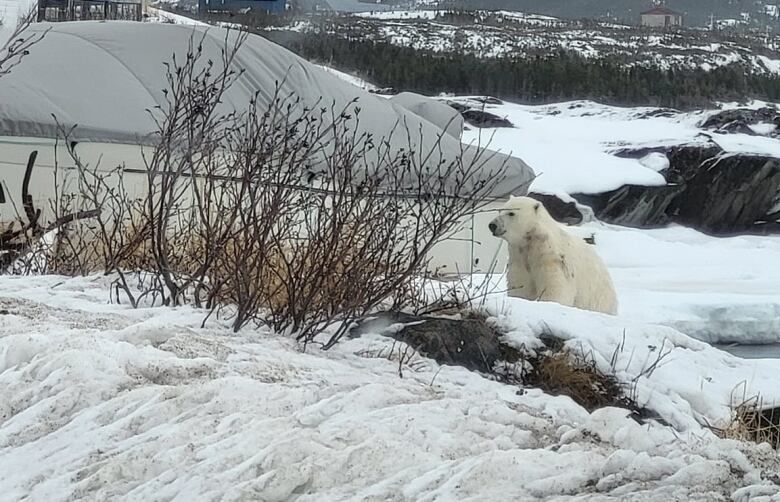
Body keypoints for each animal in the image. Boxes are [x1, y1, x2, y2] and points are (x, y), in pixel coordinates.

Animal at [490, 196, 620, 314]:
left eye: (511, 213)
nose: (492, 225)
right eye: (500, 210)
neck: (533, 242)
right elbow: (521, 285)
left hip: (599, 299)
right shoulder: (519, 258)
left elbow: (555, 289)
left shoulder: (552, 260)